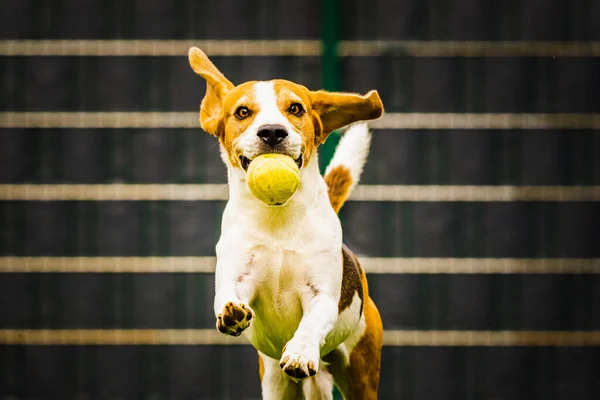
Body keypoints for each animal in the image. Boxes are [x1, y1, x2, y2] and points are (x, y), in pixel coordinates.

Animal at [188, 45, 384, 398]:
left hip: (361, 372)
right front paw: (230, 313)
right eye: (242, 112)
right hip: (274, 383)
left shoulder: (322, 296)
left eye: (295, 108)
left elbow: (310, 323)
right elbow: (228, 293)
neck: (277, 217)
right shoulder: (239, 275)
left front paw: (300, 352)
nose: (272, 132)